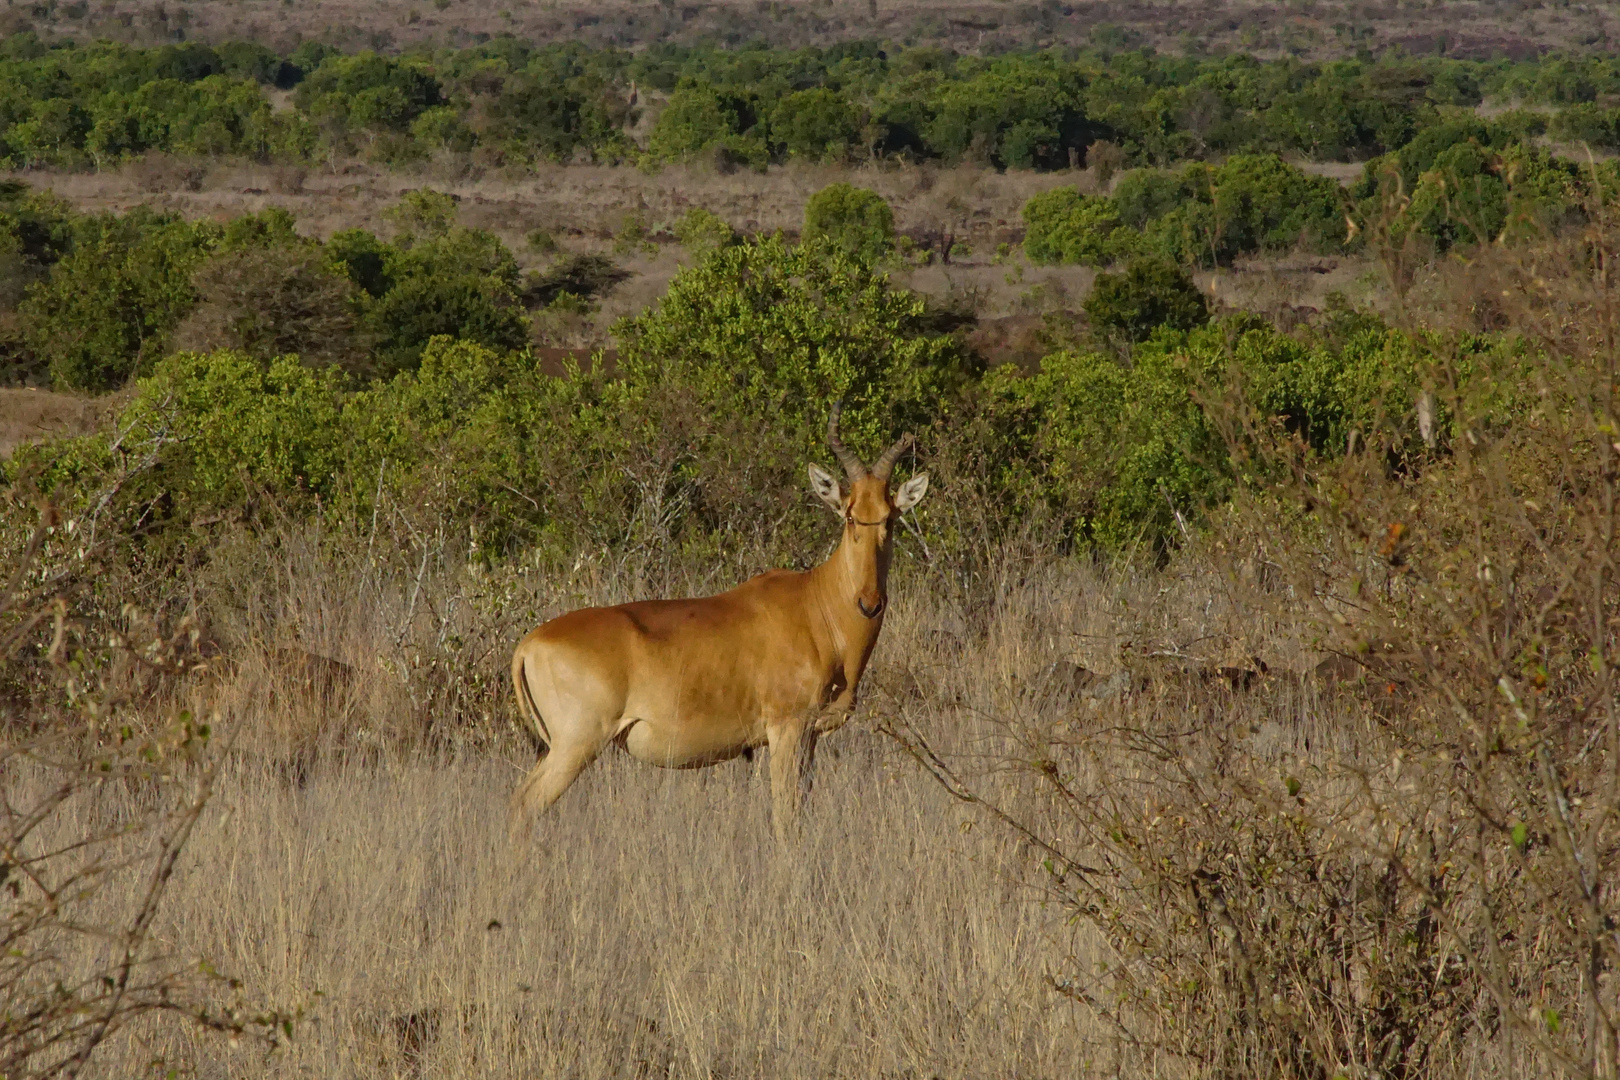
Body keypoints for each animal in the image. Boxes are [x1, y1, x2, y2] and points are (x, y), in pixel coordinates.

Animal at [511, 403, 933, 835]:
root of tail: (529, 645)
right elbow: (785, 816)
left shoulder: (809, 736)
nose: (869, 603)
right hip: (576, 745)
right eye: (849, 516)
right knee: (525, 804)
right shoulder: (786, 729)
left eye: (890, 518)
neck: (815, 603)